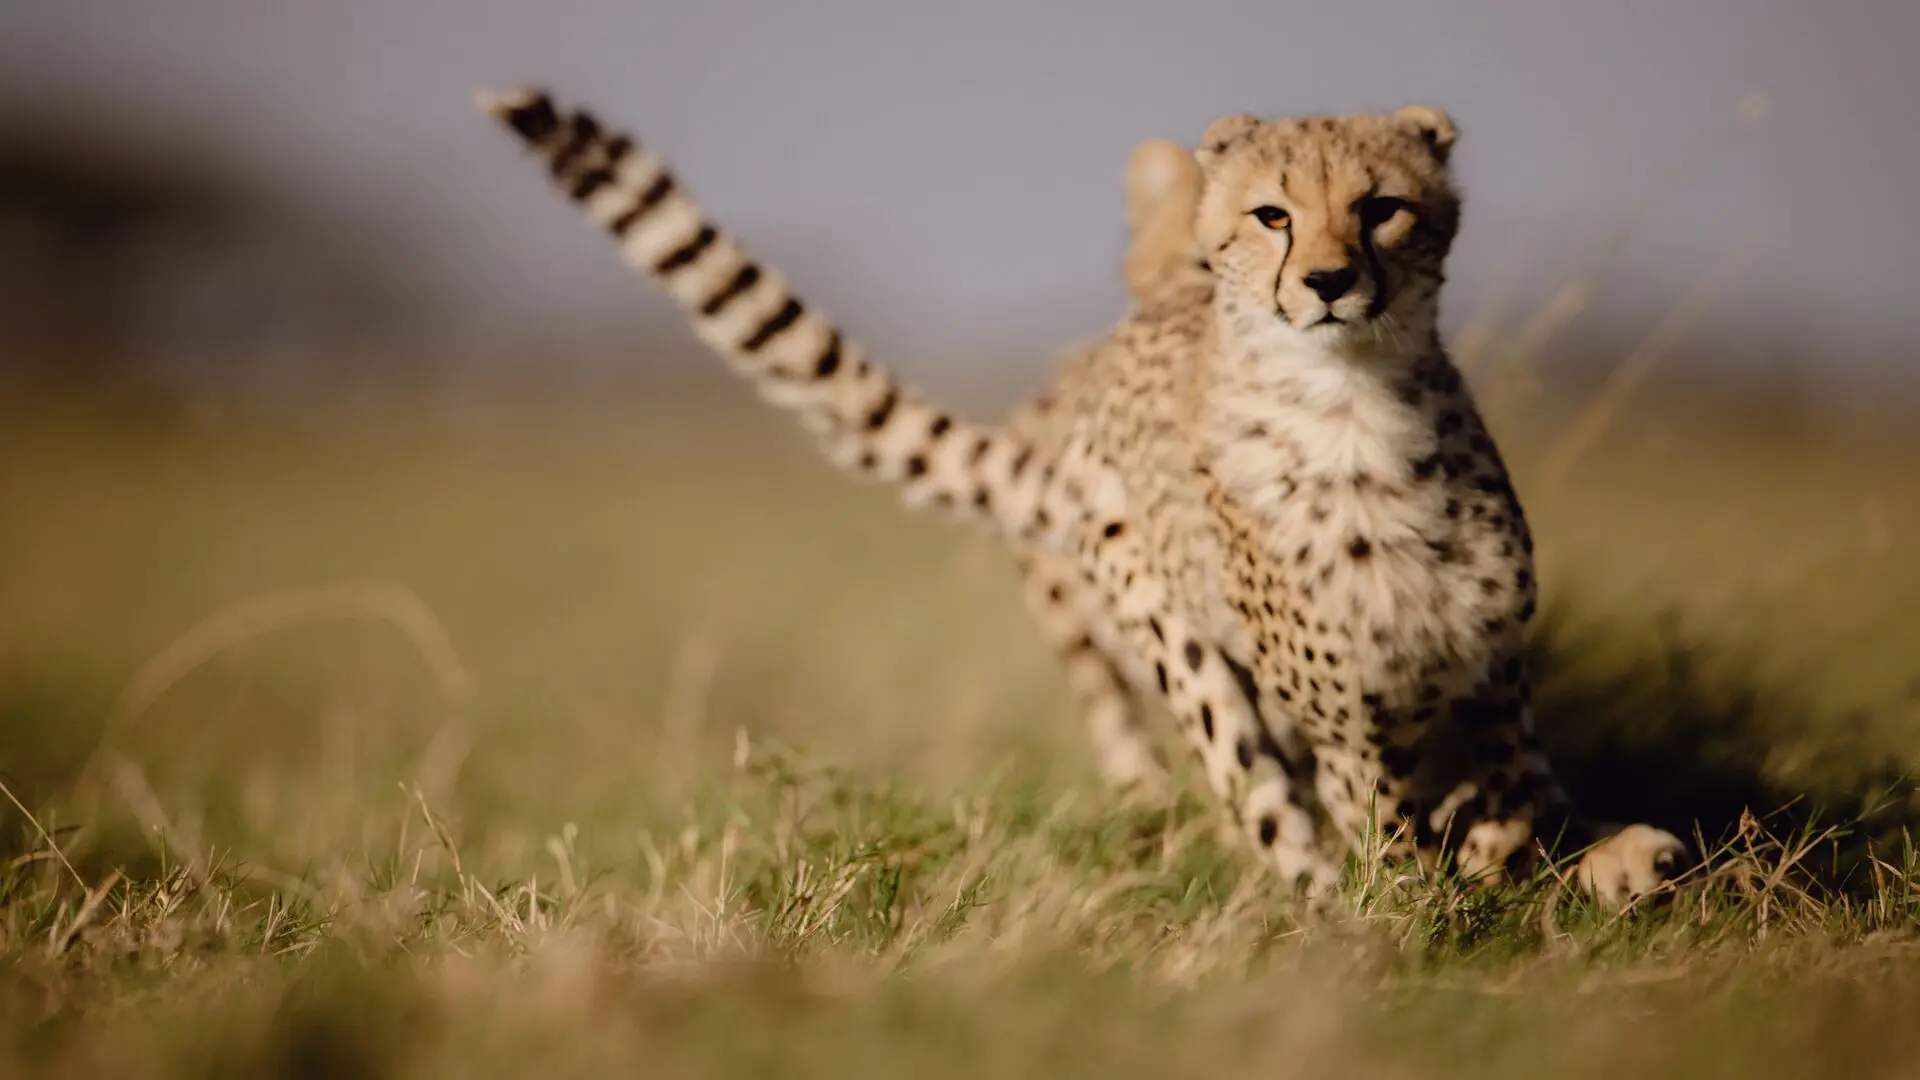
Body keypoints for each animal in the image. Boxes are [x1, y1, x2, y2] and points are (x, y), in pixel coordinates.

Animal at [476, 87, 1690, 909]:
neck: (1352, 409)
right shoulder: (1342, 721)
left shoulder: (1492, 671)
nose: (1329, 281)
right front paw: (1425, 900)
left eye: (1382, 207)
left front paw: (1539, 849)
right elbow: (1384, 830)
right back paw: (1328, 916)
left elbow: (1524, 795)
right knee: (1260, 807)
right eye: (1273, 216)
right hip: (1176, 648)